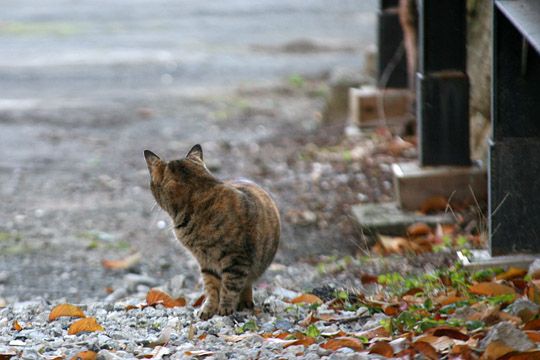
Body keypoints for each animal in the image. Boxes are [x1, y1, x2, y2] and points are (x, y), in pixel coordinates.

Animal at [143, 145, 280, 320]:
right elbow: (212, 288)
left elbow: (230, 285)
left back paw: (244, 303)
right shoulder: (206, 262)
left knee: (245, 283)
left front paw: (225, 308)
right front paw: (208, 309)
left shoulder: (236, 259)